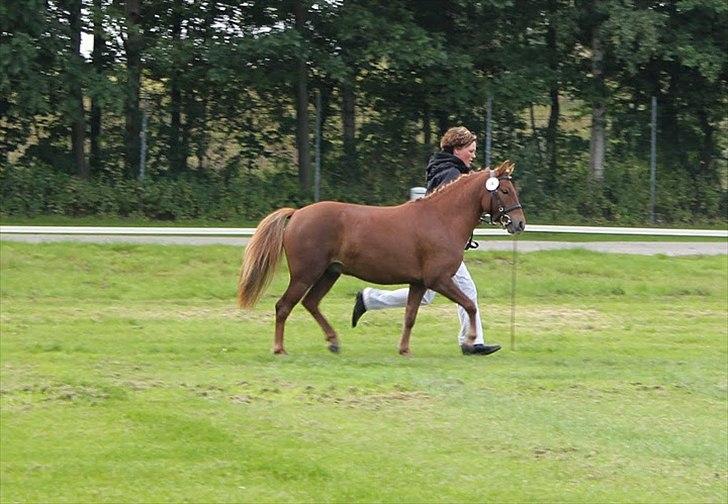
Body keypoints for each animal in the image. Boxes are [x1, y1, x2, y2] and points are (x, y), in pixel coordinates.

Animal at [237, 161, 524, 354]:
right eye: (505, 191)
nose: (519, 223)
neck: (441, 219)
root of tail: (297, 214)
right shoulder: (438, 279)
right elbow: (470, 305)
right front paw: (471, 340)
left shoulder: (419, 283)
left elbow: (410, 316)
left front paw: (404, 349)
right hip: (305, 274)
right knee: (284, 306)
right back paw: (279, 348)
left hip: (329, 273)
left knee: (311, 303)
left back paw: (334, 341)